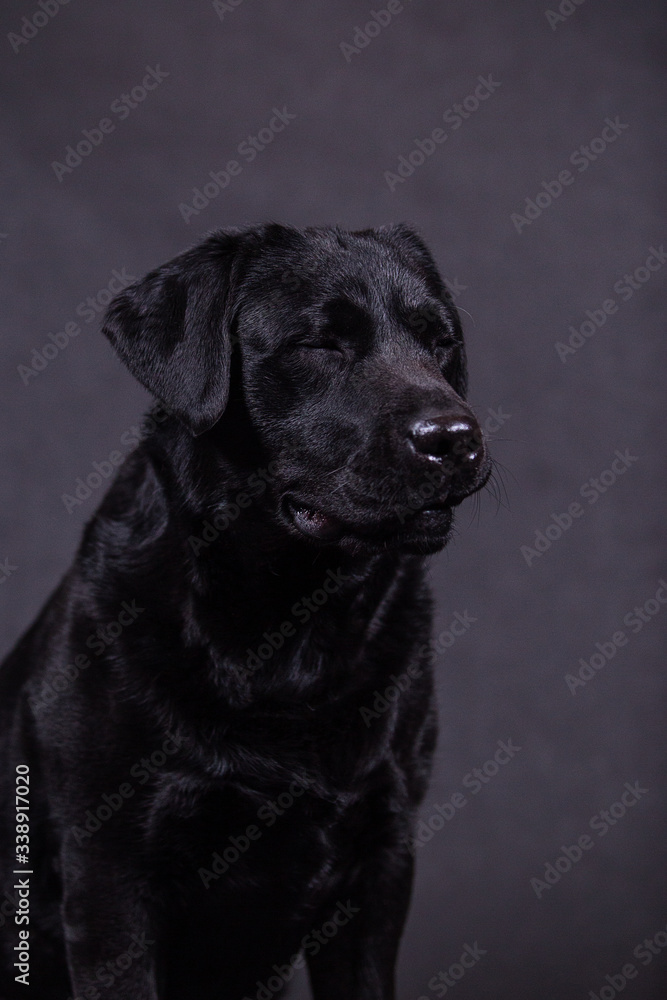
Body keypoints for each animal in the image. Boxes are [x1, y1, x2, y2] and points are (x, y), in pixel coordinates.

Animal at [0, 227, 490, 1000]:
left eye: (440, 343)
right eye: (319, 344)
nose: (454, 436)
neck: (293, 633)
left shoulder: (380, 863)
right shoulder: (108, 874)